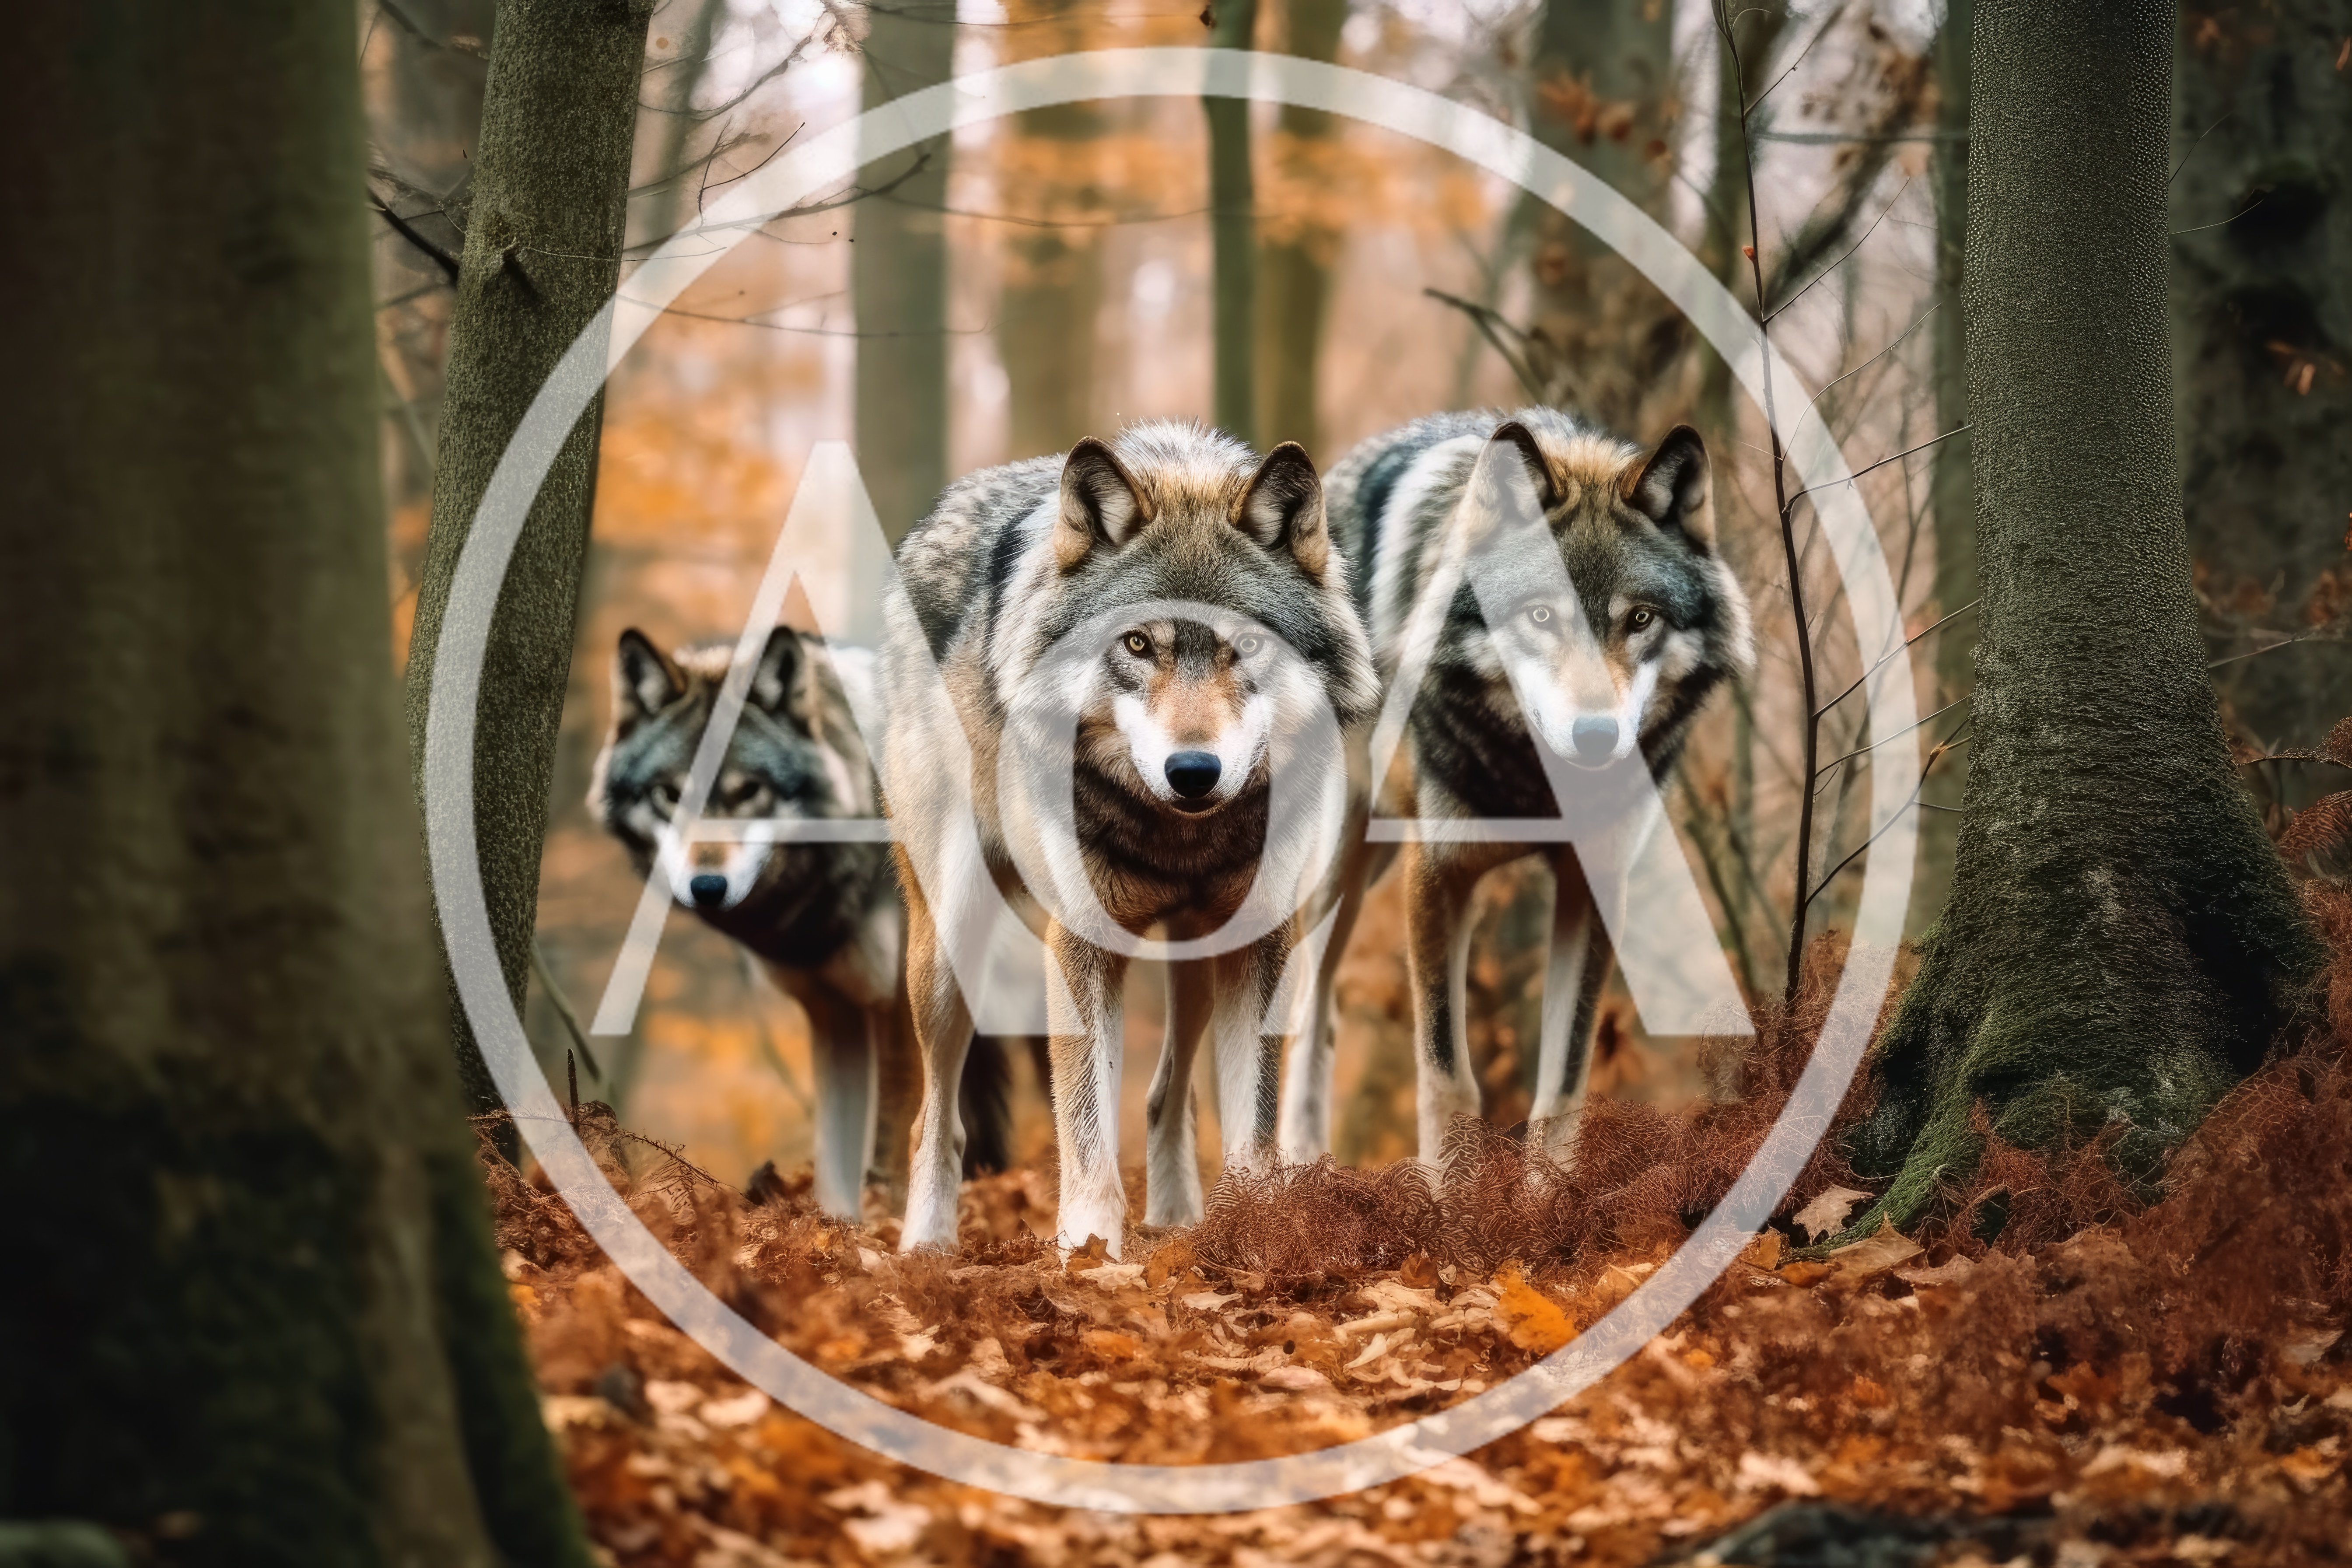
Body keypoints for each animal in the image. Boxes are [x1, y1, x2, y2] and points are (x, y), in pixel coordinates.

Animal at [590, 626, 1020, 1218]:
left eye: (749, 790)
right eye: (670, 794)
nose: (707, 886)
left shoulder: (896, 1002)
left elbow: (892, 1136)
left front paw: (885, 1223)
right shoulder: (832, 1014)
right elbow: (834, 1159)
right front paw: (841, 1230)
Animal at [882, 420, 1379, 1257]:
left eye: (1247, 646)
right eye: (1139, 645)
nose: (1194, 771)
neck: (1180, 837)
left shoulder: (1261, 942)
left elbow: (1252, 1124)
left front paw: (1252, 1235)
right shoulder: (1079, 944)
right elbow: (1085, 1129)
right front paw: (1090, 1252)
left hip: (1195, 955)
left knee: (1165, 1095)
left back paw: (1175, 1219)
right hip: (947, 951)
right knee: (934, 1121)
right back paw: (926, 1247)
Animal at [1278, 408, 1754, 1169]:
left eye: (1641, 619)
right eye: (1541, 617)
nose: (1597, 736)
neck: (1537, 792)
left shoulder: (1594, 888)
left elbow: (1562, 1085)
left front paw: (1548, 1197)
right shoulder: (1436, 876)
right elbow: (1447, 1078)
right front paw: (1452, 1197)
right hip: (1338, 861)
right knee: (1307, 1009)